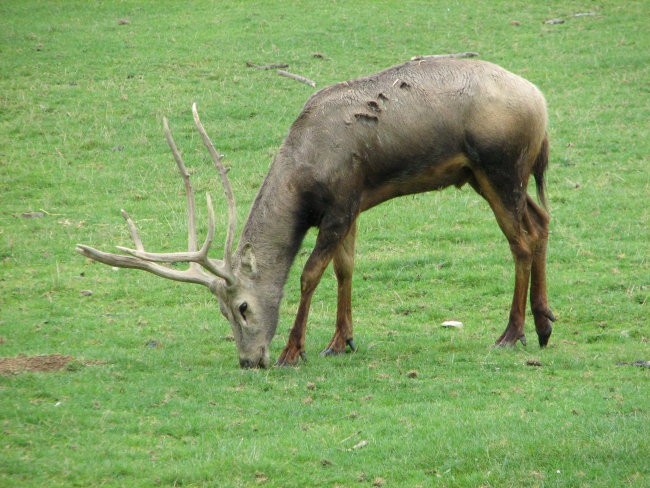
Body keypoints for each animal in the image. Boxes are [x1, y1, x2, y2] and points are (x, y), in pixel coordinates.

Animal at [76, 58, 552, 370]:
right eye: (222, 313)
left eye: (243, 307)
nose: (250, 361)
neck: (303, 181)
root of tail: (542, 105)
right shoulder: (354, 205)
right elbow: (346, 268)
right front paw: (341, 341)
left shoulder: (338, 207)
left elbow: (309, 274)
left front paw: (293, 350)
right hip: (489, 175)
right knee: (542, 220)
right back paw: (544, 323)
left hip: (499, 166)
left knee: (521, 239)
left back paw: (512, 333)